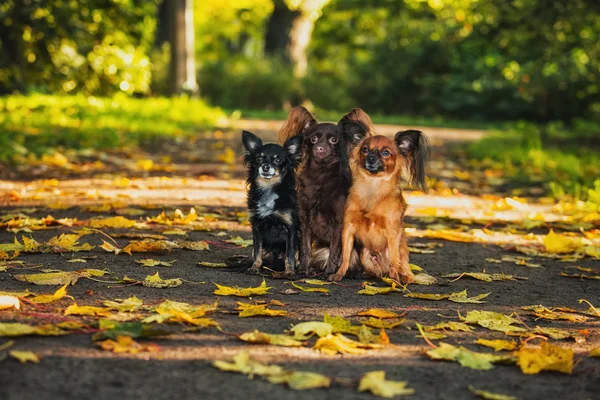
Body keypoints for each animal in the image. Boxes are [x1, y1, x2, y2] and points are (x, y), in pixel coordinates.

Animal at [328, 130, 432, 282]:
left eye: (386, 152)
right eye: (365, 149)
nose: (371, 158)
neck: (373, 185)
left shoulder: (392, 232)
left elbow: (394, 260)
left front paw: (395, 280)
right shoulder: (348, 228)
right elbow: (346, 257)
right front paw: (339, 274)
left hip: (401, 253)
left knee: (401, 265)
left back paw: (403, 278)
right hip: (365, 254)